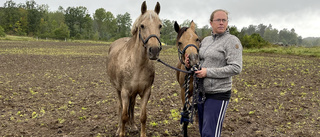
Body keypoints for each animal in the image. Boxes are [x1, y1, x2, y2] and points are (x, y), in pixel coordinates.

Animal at [107, 1, 161, 137]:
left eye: (160, 26)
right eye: (142, 26)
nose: (154, 50)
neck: (138, 65)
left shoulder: (146, 92)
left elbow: (143, 116)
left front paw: (141, 132)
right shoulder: (125, 92)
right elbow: (124, 115)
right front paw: (121, 132)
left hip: (134, 93)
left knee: (131, 106)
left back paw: (133, 125)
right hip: (118, 90)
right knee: (120, 107)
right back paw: (119, 129)